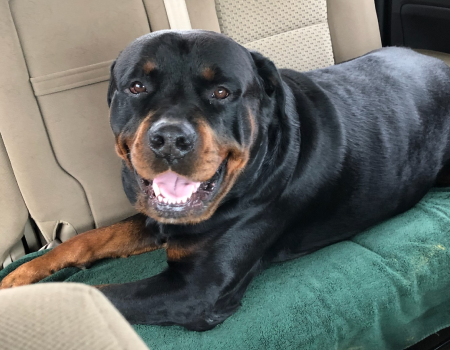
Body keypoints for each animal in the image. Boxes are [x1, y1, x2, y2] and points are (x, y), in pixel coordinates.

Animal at [0, 30, 450, 330]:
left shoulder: (196, 291)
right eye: (137, 86)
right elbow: (87, 240)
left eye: (221, 92)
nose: (170, 139)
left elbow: (98, 294)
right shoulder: (157, 217)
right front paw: (19, 276)